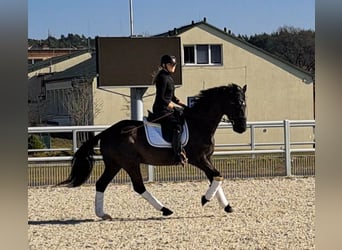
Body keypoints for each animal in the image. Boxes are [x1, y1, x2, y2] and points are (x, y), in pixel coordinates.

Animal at [58, 83, 246, 219]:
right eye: (235, 103)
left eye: (244, 103)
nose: (242, 128)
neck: (199, 123)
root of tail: (108, 131)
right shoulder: (198, 159)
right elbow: (217, 175)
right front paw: (205, 199)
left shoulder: (207, 158)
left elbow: (215, 177)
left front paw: (227, 206)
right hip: (130, 163)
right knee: (138, 186)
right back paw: (165, 210)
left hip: (114, 164)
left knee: (101, 184)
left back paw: (102, 214)